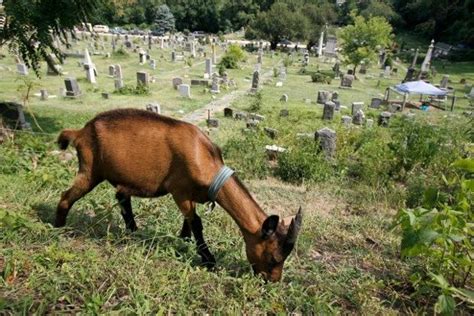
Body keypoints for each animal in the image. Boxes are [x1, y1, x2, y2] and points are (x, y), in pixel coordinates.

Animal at [54, 108, 300, 282]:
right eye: (273, 258)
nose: (272, 281)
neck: (206, 160)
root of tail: (81, 132)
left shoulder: (191, 195)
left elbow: (188, 221)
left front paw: (184, 238)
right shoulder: (179, 191)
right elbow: (197, 222)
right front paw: (208, 260)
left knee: (122, 197)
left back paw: (132, 231)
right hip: (90, 170)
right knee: (67, 196)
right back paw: (58, 228)